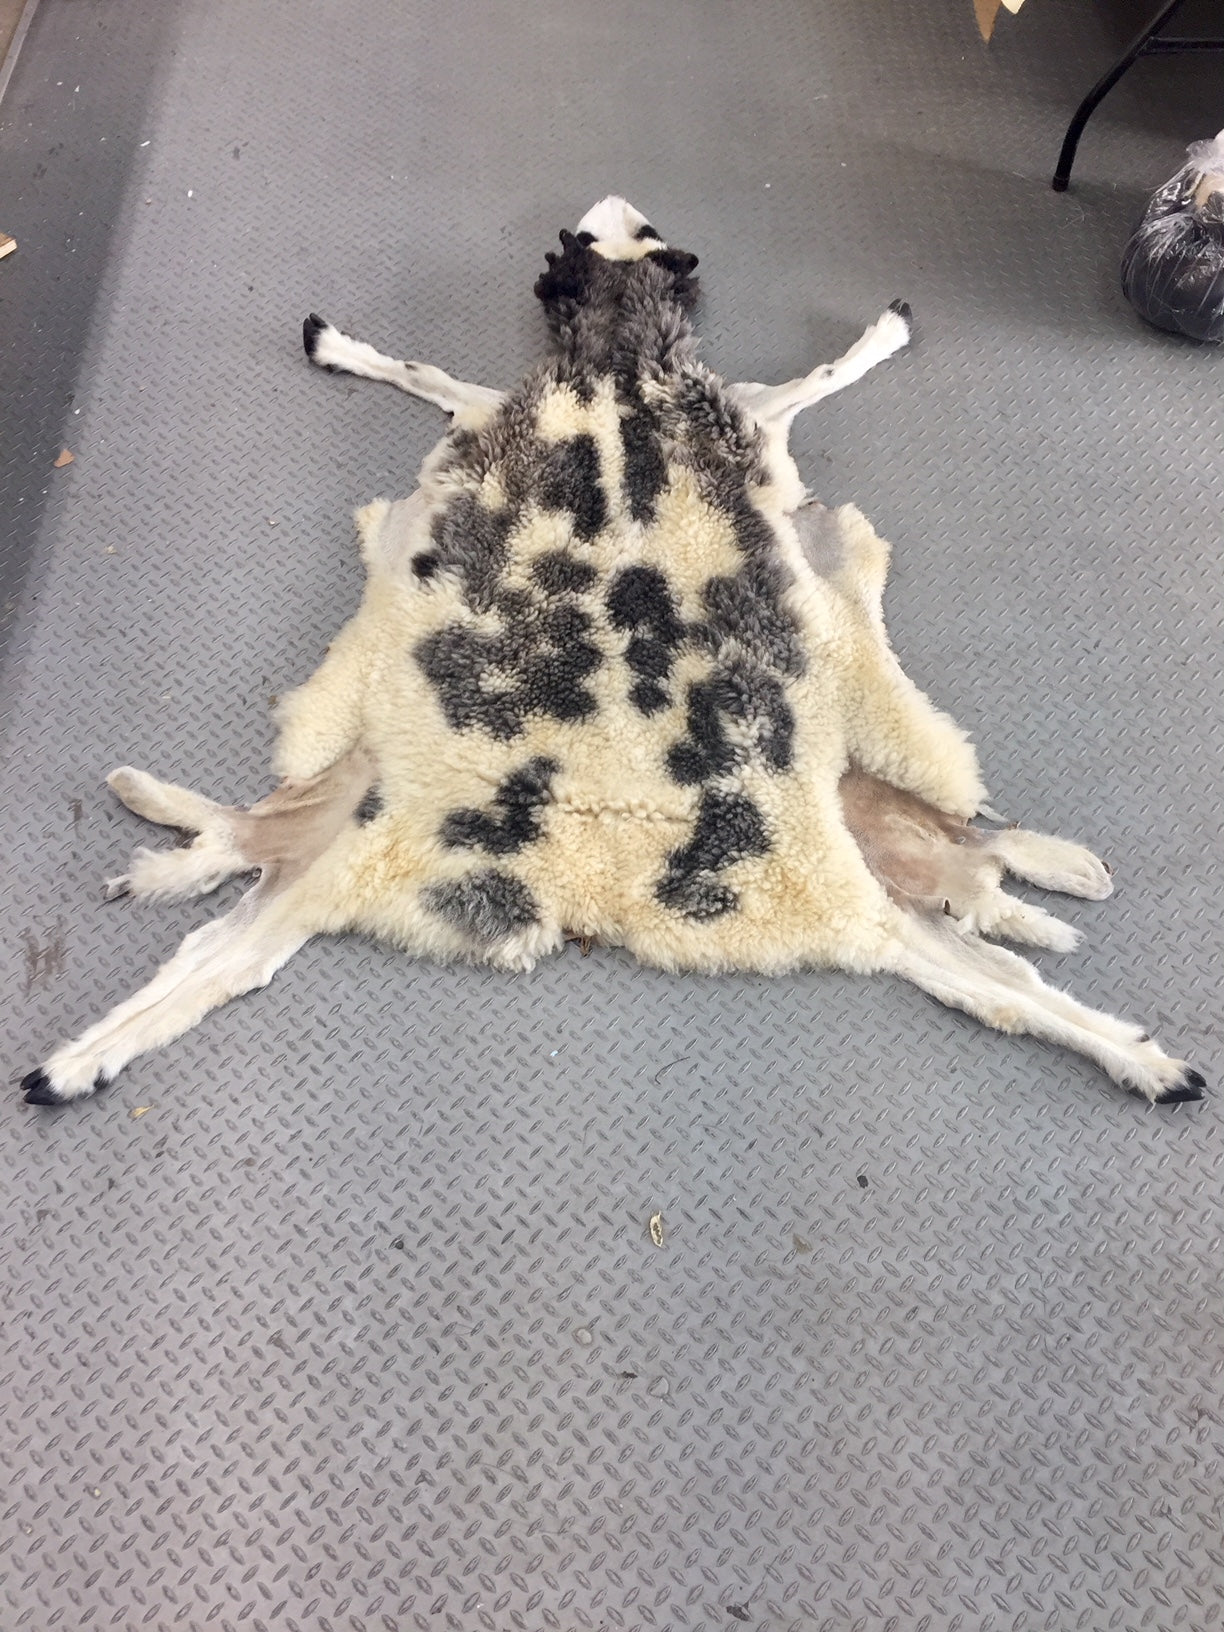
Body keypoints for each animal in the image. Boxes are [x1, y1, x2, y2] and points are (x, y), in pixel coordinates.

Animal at [19, 196, 1204, 1108]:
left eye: (632, 236)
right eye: (603, 240)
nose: (612, 206)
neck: (618, 363)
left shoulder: (662, 405)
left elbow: (807, 374)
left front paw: (884, 333)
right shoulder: (595, 404)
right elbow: (429, 367)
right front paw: (339, 343)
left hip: (834, 861)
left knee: (990, 940)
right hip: (363, 847)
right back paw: (79, 1048)